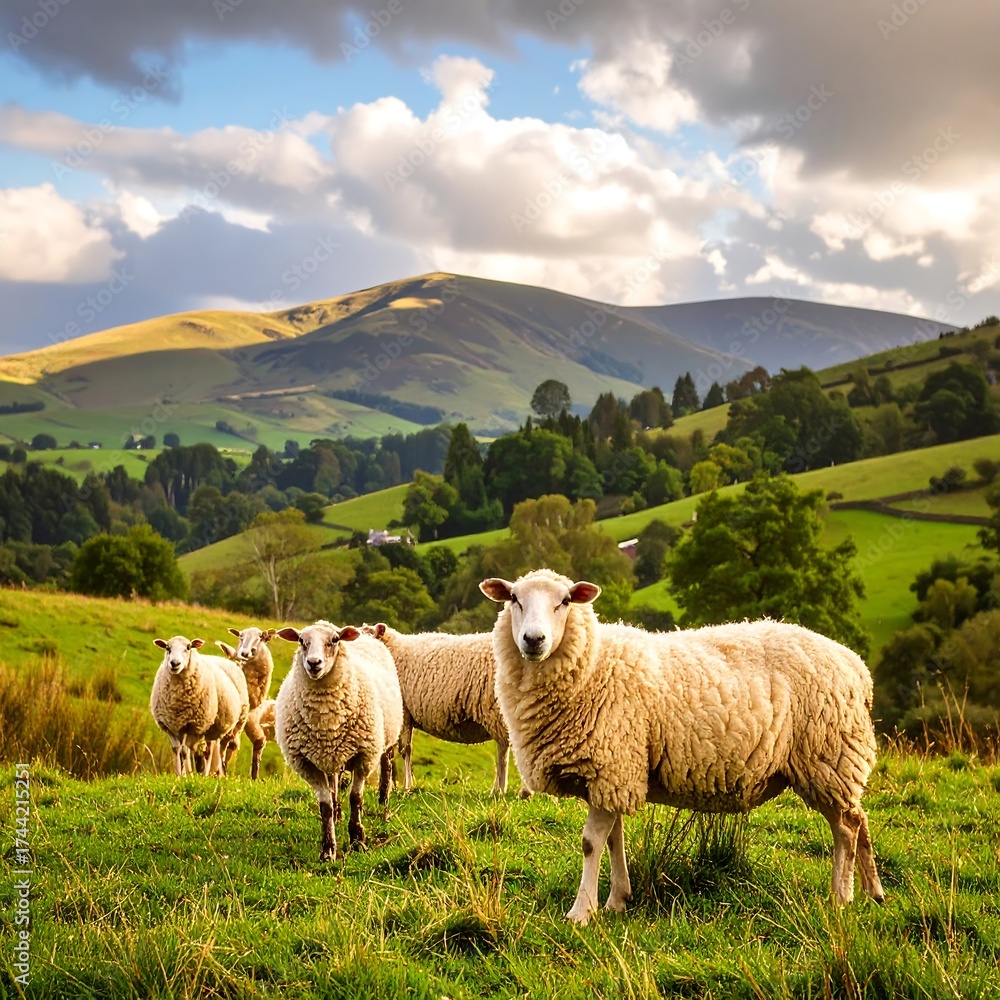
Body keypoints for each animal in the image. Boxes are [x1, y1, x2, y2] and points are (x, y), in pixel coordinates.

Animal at [150, 636, 250, 777]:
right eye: (167, 648)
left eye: (188, 647)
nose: (174, 663)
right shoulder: (170, 726)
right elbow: (176, 750)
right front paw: (179, 775)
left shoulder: (191, 725)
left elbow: (185, 751)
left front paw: (187, 775)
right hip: (211, 727)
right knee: (208, 750)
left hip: (223, 726)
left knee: (214, 751)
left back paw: (210, 775)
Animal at [273, 620, 403, 861]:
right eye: (301, 640)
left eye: (334, 640)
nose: (314, 663)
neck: (326, 718)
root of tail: (364, 634)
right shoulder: (307, 764)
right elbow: (324, 806)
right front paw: (328, 850)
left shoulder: (364, 755)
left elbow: (356, 798)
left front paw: (357, 840)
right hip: (331, 755)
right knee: (334, 785)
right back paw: (337, 813)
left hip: (387, 738)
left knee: (386, 766)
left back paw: (383, 802)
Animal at [362, 622, 521, 796]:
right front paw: (388, 786)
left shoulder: (404, 712)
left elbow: (404, 750)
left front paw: (406, 786)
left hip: (497, 711)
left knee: (503, 751)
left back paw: (499, 789)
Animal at [481, 569, 885, 925]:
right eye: (514, 599)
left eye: (564, 601)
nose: (534, 640)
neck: (594, 663)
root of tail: (856, 665)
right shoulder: (617, 774)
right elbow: (614, 839)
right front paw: (617, 900)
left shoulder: (612, 765)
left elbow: (590, 843)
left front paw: (581, 912)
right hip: (835, 761)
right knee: (860, 819)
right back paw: (874, 893)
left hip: (826, 756)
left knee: (847, 828)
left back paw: (840, 897)